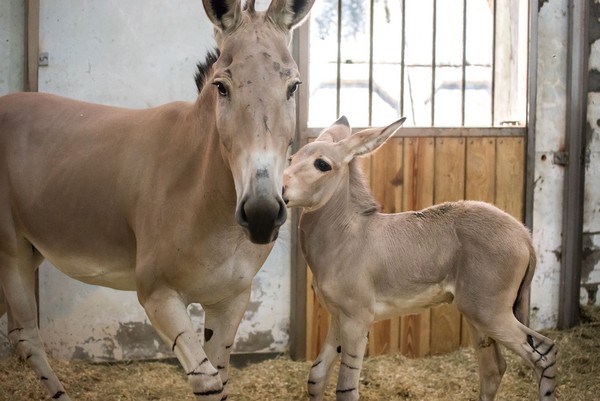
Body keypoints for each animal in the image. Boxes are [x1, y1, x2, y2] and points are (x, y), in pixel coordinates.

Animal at [284, 117, 556, 400]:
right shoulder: (338, 317)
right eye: (291, 158)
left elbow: (346, 389)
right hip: (477, 313)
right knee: (494, 367)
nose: (280, 191)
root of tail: (524, 236)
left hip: (491, 313)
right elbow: (316, 377)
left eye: (322, 164)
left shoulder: (356, 320)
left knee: (544, 353)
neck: (347, 236)